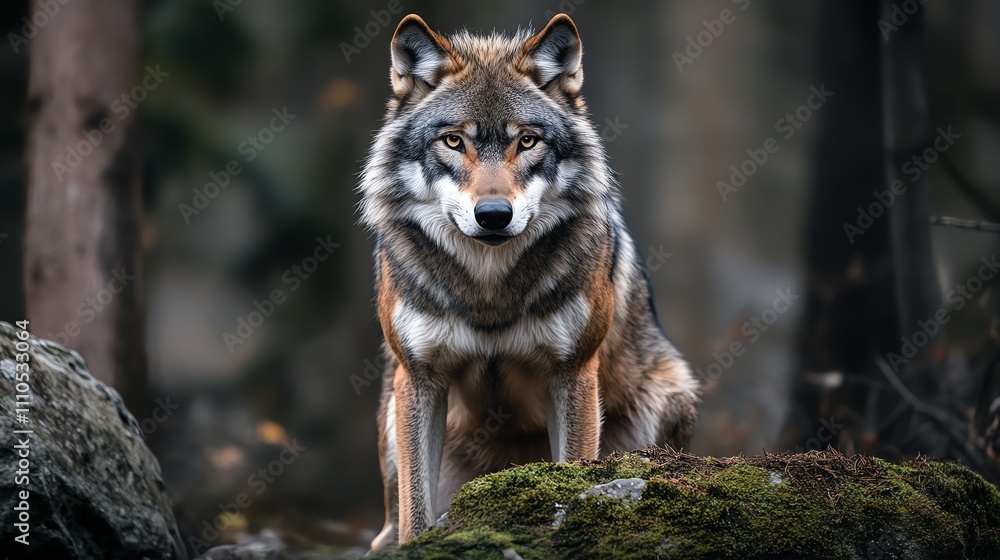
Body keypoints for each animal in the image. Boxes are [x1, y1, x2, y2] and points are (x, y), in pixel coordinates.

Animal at [358, 13, 699, 549]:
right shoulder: (420, 376)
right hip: (394, 416)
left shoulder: (572, 372)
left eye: (527, 141)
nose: (495, 215)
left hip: (666, 400)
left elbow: (573, 475)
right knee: (391, 525)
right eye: (454, 141)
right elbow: (416, 512)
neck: (488, 290)